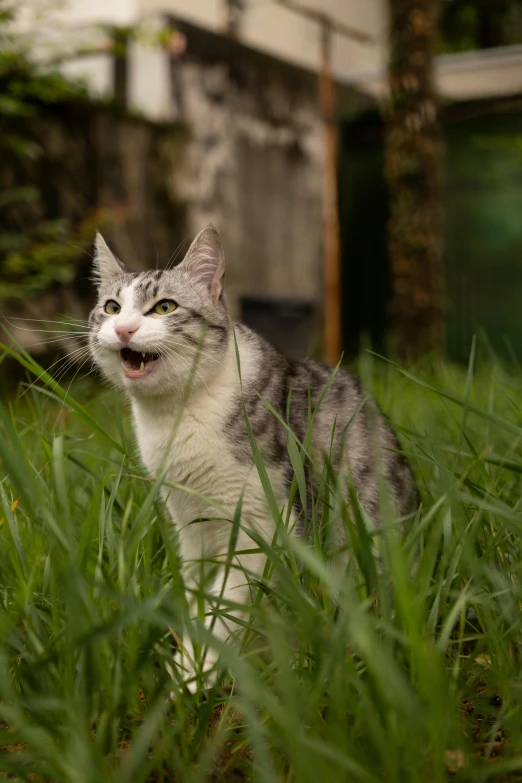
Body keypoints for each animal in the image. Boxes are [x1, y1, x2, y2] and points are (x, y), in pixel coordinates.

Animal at [88, 224, 414, 688]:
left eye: (164, 307)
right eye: (112, 307)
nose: (125, 330)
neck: (178, 413)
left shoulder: (261, 525)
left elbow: (228, 602)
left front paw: (194, 673)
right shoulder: (188, 525)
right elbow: (198, 591)